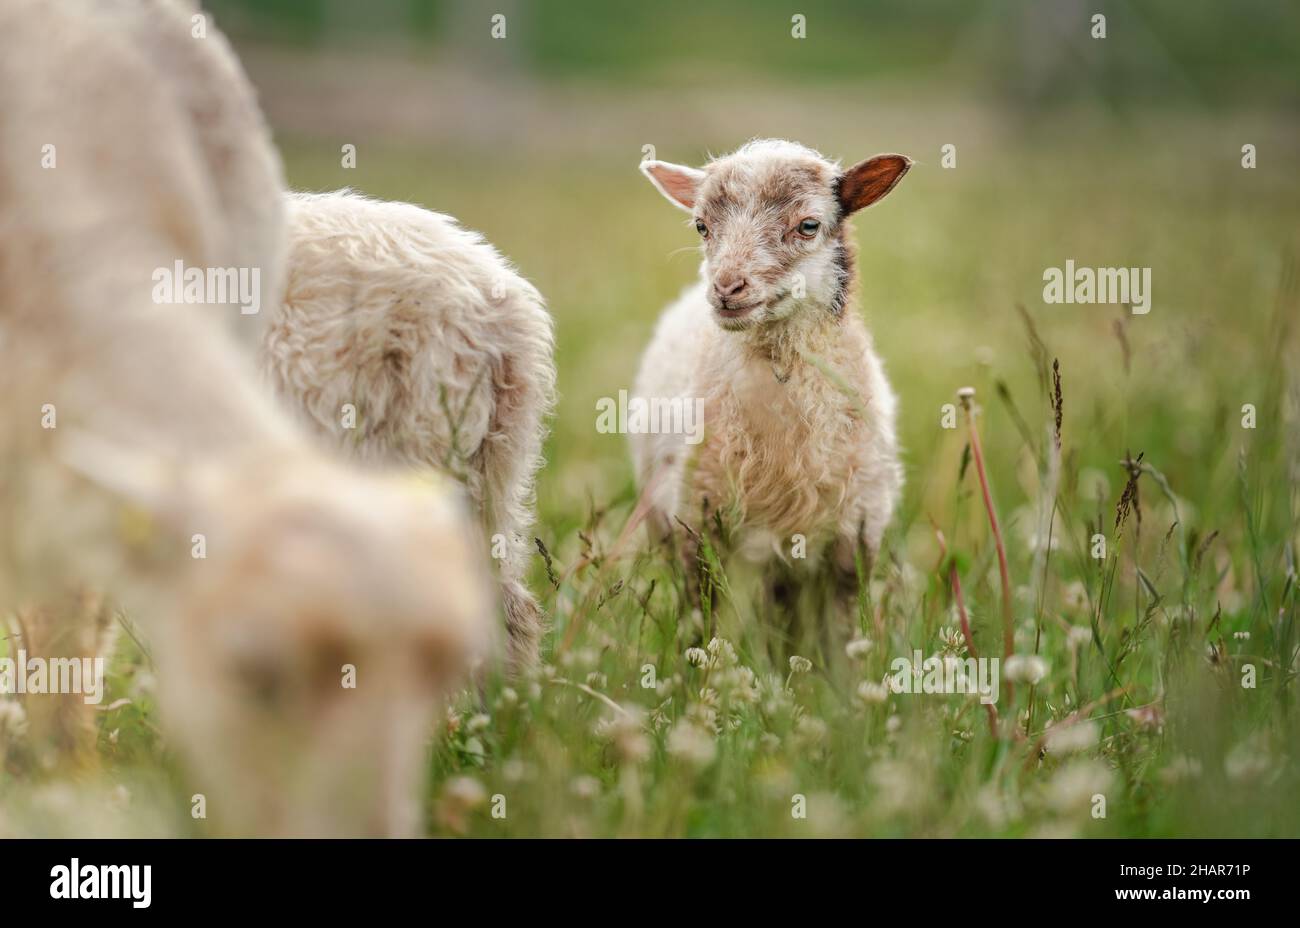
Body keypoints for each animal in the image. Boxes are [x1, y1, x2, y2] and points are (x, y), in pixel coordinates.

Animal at [634, 137, 909, 629]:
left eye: (808, 225)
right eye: (702, 226)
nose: (726, 288)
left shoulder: (856, 535)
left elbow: (840, 629)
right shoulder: (696, 525)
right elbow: (704, 618)